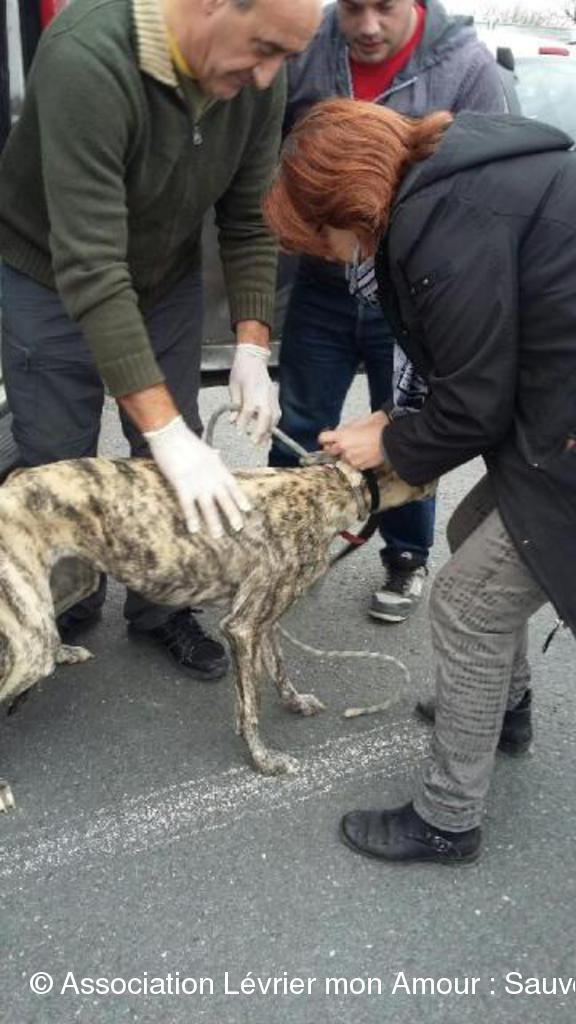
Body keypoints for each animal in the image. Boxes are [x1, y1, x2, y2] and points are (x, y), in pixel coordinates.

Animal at [0, 456, 434, 810]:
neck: (327, 488)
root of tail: (13, 481)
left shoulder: (266, 618)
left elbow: (279, 669)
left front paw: (295, 702)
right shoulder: (241, 627)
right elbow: (250, 707)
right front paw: (263, 760)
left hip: (76, 581)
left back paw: (66, 652)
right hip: (33, 635)